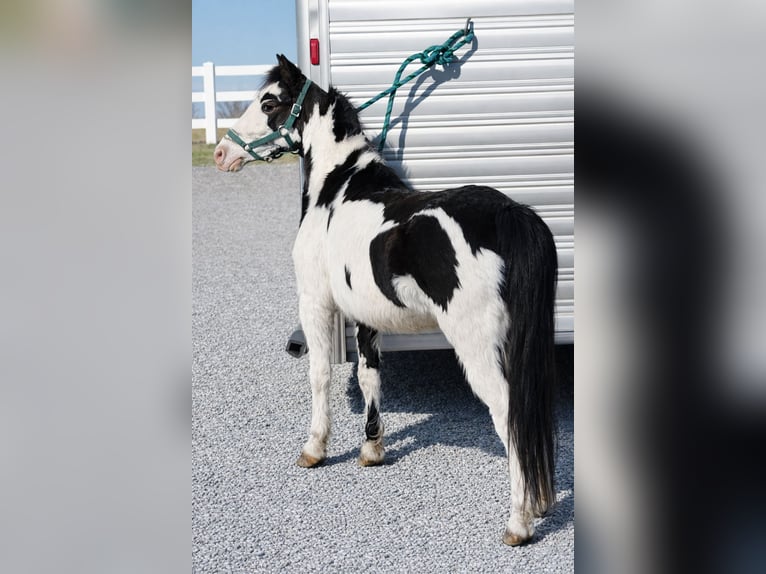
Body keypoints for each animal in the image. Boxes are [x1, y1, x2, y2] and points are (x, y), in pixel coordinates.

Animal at [214, 55, 558, 546]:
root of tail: (507, 213)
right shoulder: (365, 315)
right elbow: (370, 375)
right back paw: (541, 502)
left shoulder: (316, 302)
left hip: (477, 347)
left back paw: (518, 521)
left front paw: (314, 448)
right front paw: (372, 447)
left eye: (269, 102)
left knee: (511, 416)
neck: (337, 189)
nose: (222, 153)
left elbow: (320, 374)